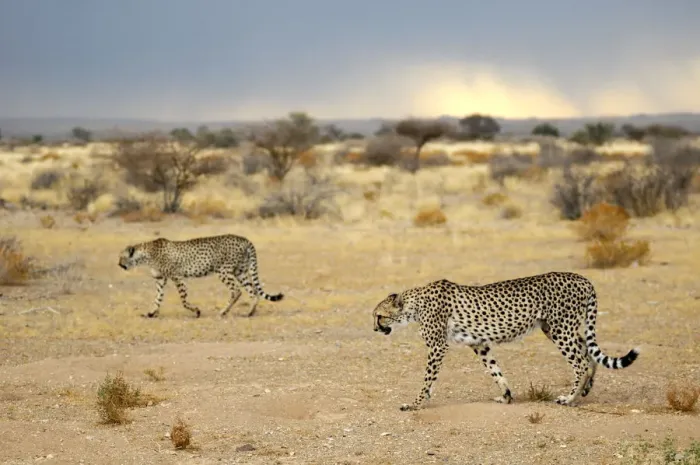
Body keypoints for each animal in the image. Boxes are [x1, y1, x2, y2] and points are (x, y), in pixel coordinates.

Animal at [118, 234, 283, 318]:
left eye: (122, 257)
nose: (119, 265)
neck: (146, 254)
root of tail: (244, 239)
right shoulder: (160, 279)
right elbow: (158, 298)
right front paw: (152, 312)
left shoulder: (177, 276)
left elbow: (183, 300)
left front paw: (196, 311)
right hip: (240, 271)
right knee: (253, 291)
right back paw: (249, 312)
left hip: (223, 271)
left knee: (236, 291)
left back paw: (223, 312)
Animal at [372, 271, 640, 411]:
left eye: (379, 316)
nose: (375, 329)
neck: (414, 306)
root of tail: (582, 278)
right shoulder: (479, 343)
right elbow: (494, 370)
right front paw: (506, 396)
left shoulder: (438, 346)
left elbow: (427, 378)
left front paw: (416, 403)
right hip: (556, 328)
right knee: (587, 353)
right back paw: (586, 389)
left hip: (561, 329)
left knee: (581, 362)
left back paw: (569, 398)